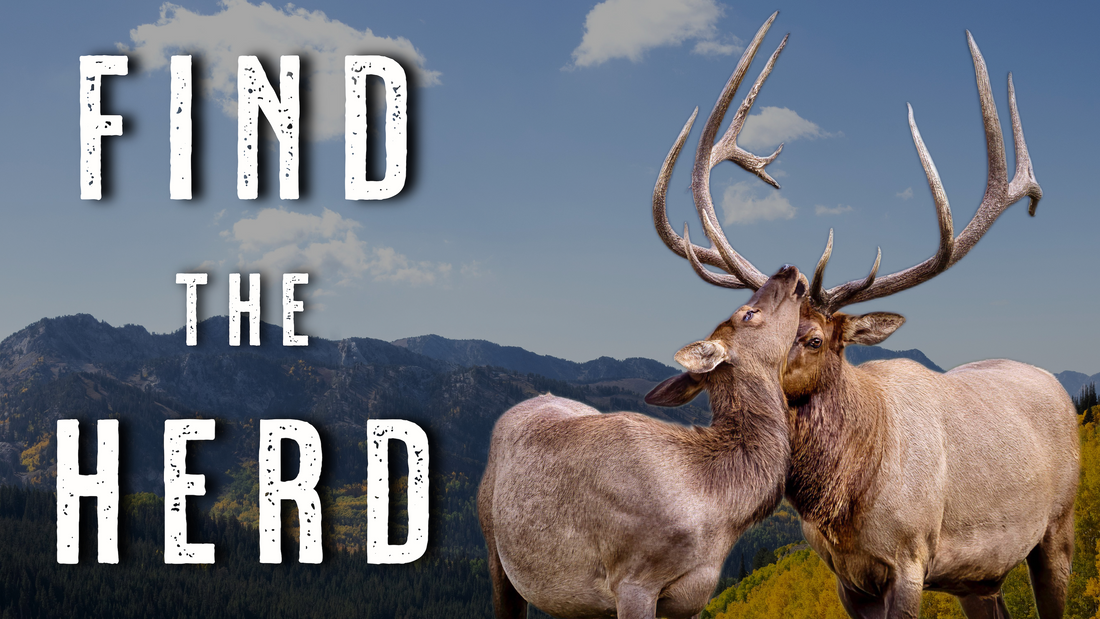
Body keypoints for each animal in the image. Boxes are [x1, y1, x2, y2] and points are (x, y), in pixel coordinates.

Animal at [478, 14, 808, 619]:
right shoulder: (632, 579)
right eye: (747, 313)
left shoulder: (695, 594)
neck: (717, 508)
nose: (791, 267)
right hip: (495, 547)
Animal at [648, 23, 1079, 619]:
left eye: (812, 338)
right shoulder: (845, 579)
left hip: (1058, 529)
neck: (843, 504)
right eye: (742, 319)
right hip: (981, 577)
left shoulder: (911, 558)